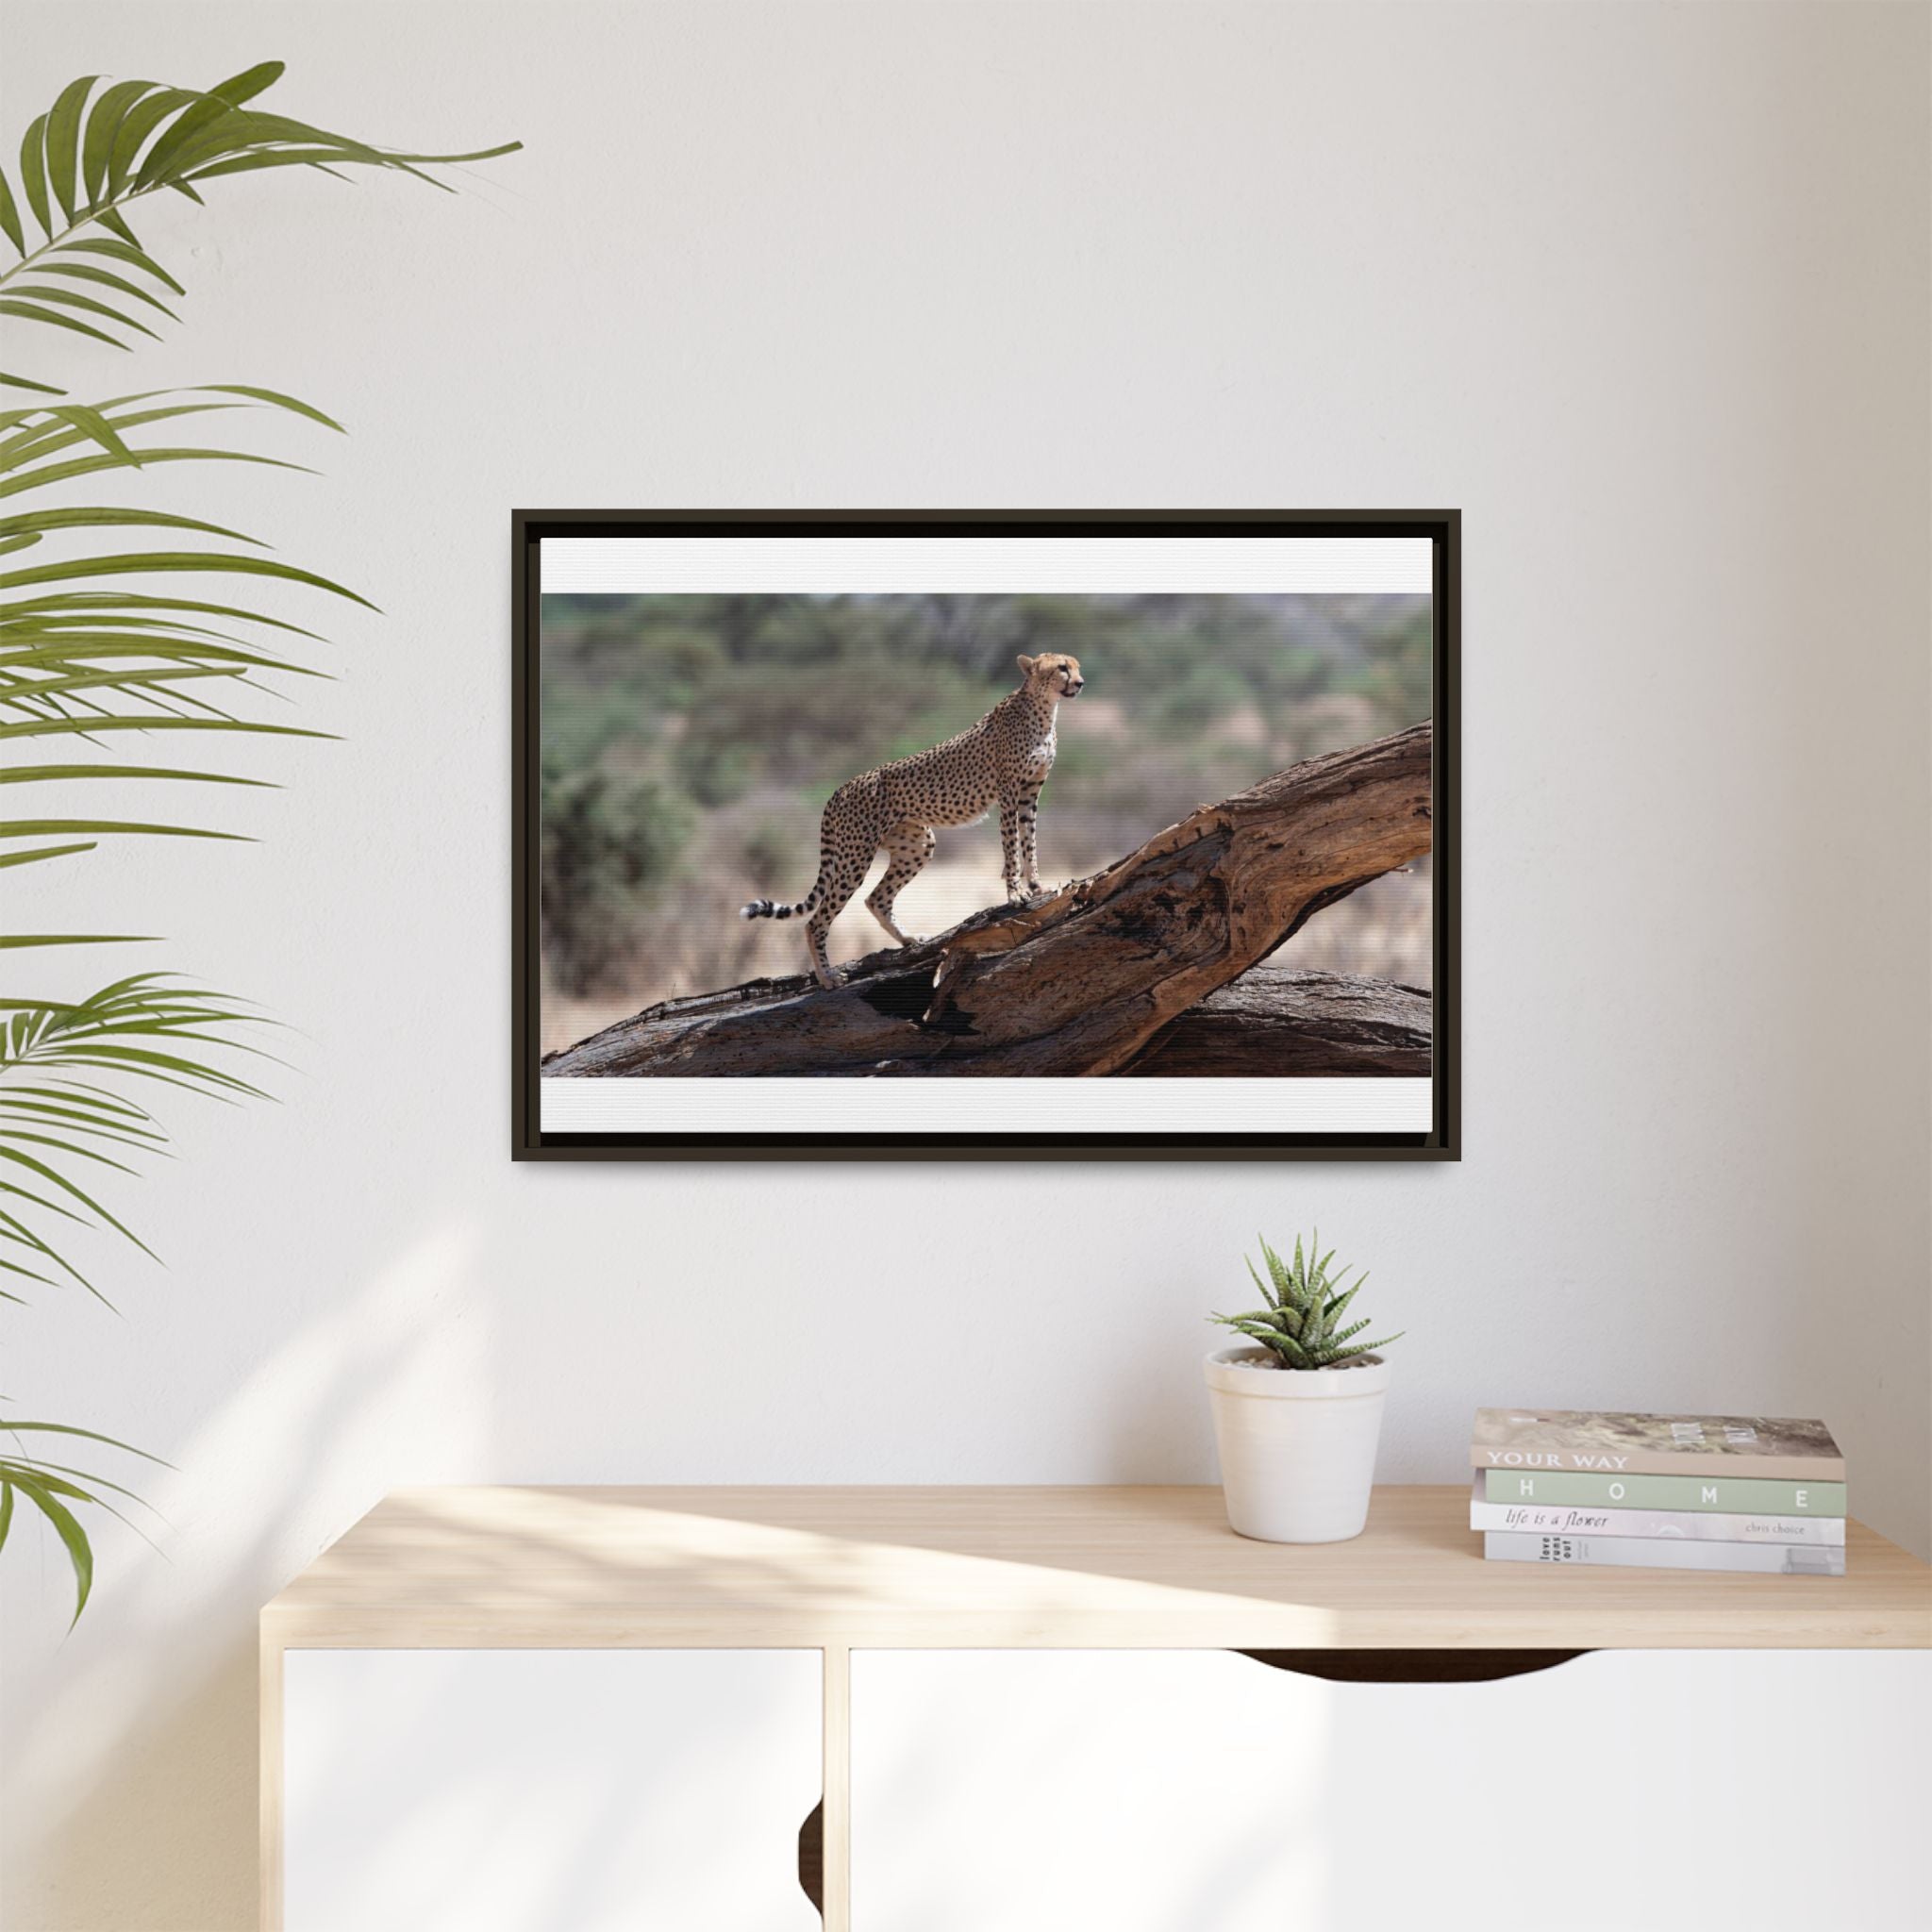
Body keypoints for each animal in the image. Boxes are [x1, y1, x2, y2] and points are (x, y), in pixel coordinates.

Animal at [741, 651, 1086, 988]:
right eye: (1062, 668)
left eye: (1076, 666)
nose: (1080, 683)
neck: (1044, 708)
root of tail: (841, 788)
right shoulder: (1009, 792)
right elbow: (1012, 846)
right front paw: (1016, 893)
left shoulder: (1030, 793)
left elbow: (1029, 842)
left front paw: (1037, 885)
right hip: (855, 855)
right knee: (816, 920)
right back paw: (828, 977)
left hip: (917, 843)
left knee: (876, 899)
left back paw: (909, 940)